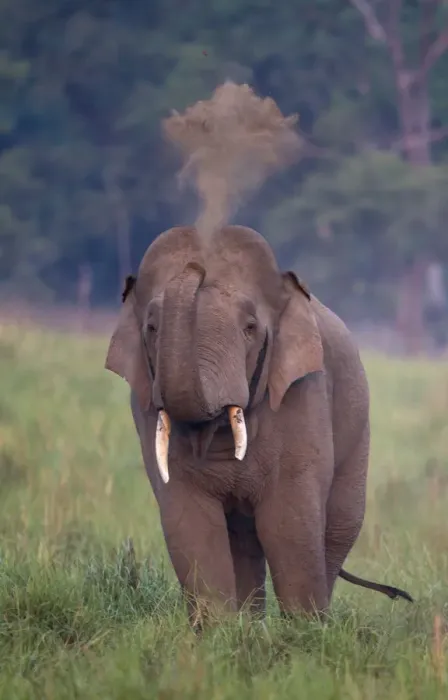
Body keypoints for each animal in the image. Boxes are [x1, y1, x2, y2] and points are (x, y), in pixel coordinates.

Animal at [105, 224, 412, 626]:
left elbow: (287, 519)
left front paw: (304, 632)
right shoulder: (144, 405)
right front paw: (218, 632)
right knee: (244, 542)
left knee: (337, 529)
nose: (196, 265)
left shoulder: (302, 393)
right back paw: (249, 625)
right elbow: (189, 521)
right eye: (152, 327)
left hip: (358, 431)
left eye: (250, 328)